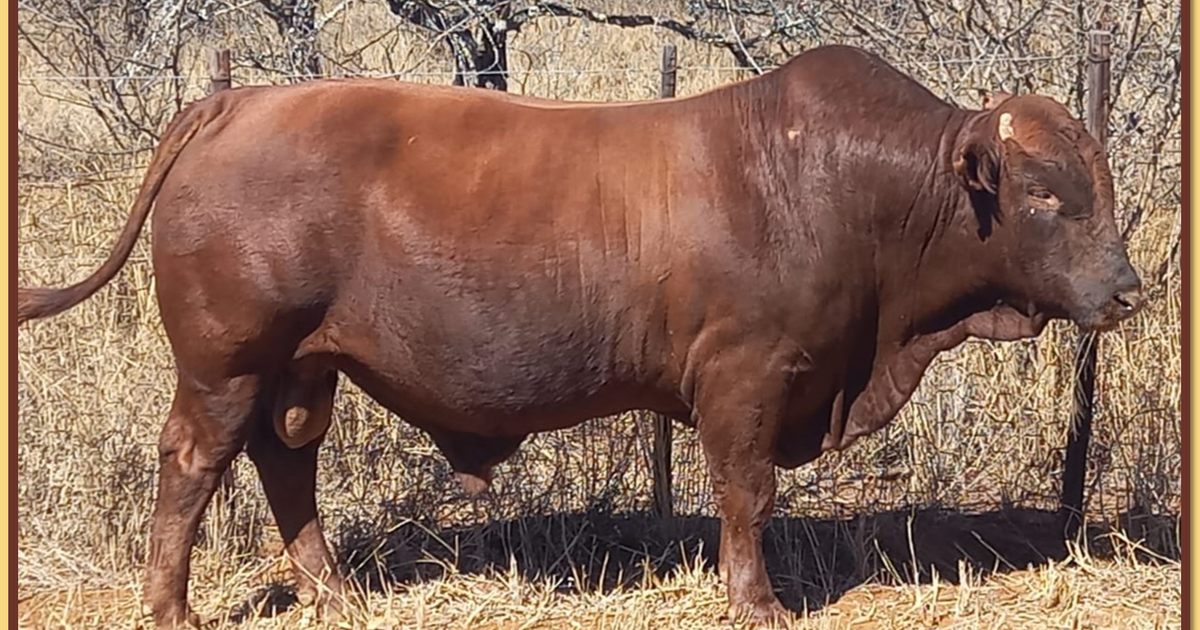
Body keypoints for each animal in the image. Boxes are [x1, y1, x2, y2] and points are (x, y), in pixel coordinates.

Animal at [17, 44, 1143, 628]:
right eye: (1044, 194)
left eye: (1098, 187)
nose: (1128, 289)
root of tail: (236, 101)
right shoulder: (746, 375)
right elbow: (747, 495)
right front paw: (757, 603)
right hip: (229, 360)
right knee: (193, 463)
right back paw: (171, 608)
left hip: (302, 367)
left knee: (285, 461)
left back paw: (333, 592)